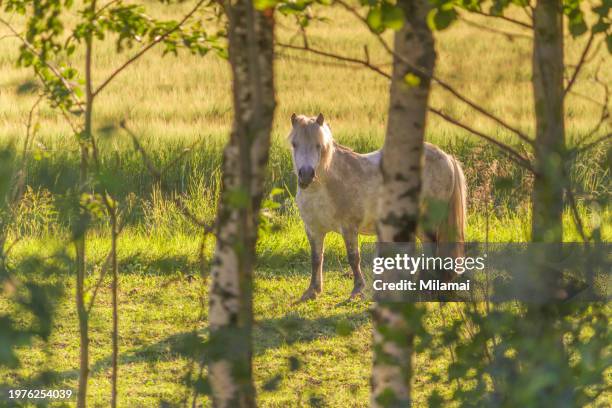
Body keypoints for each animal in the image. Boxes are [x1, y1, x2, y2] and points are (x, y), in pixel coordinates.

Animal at [290, 113, 466, 302]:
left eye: (319, 145)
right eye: (294, 144)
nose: (306, 175)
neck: (323, 187)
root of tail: (447, 157)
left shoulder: (349, 227)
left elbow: (353, 258)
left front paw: (357, 290)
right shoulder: (313, 230)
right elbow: (316, 259)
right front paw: (312, 291)